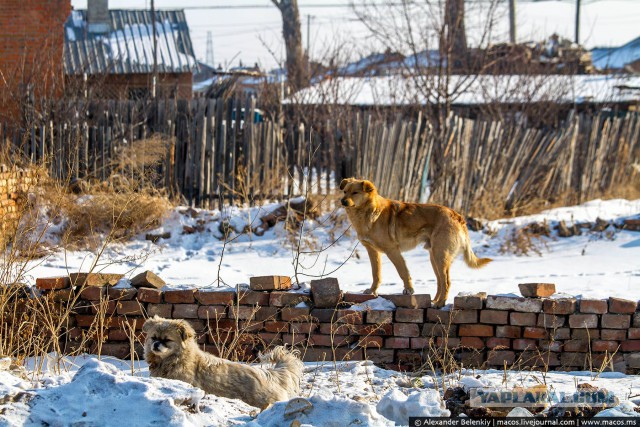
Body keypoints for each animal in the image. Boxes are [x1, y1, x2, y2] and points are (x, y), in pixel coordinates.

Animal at [340, 179, 490, 310]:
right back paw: (435, 300)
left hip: (440, 256)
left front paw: (408, 290)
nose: (342, 201)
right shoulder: (372, 251)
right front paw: (372, 291)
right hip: (435, 257)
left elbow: (403, 272)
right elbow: (376, 274)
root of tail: (458, 216)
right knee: (440, 281)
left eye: (355, 193)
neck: (368, 211)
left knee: (446, 282)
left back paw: (440, 303)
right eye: (345, 191)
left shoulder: (392, 250)